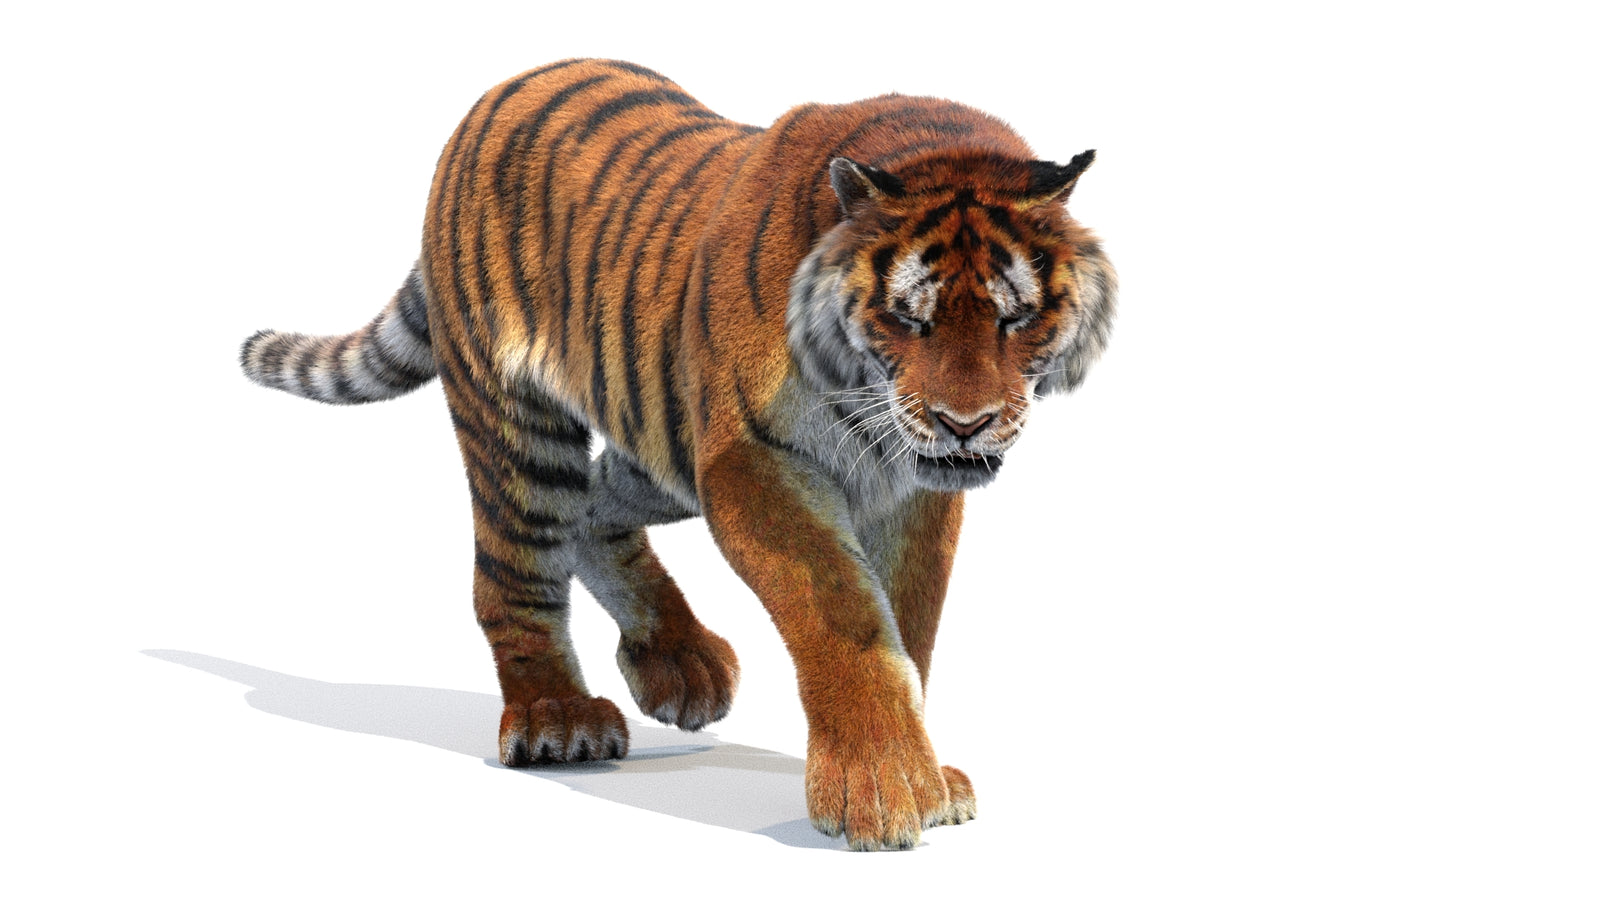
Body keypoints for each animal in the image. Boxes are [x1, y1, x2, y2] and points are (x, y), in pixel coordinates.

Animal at [240, 58, 1116, 851]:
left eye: (1015, 318)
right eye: (909, 319)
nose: (966, 423)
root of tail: (502, 89)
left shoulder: (907, 490)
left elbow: (911, 622)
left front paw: (926, 777)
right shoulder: (751, 462)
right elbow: (844, 613)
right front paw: (880, 785)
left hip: (662, 442)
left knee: (592, 508)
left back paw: (678, 662)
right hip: (521, 429)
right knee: (514, 570)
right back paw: (557, 716)